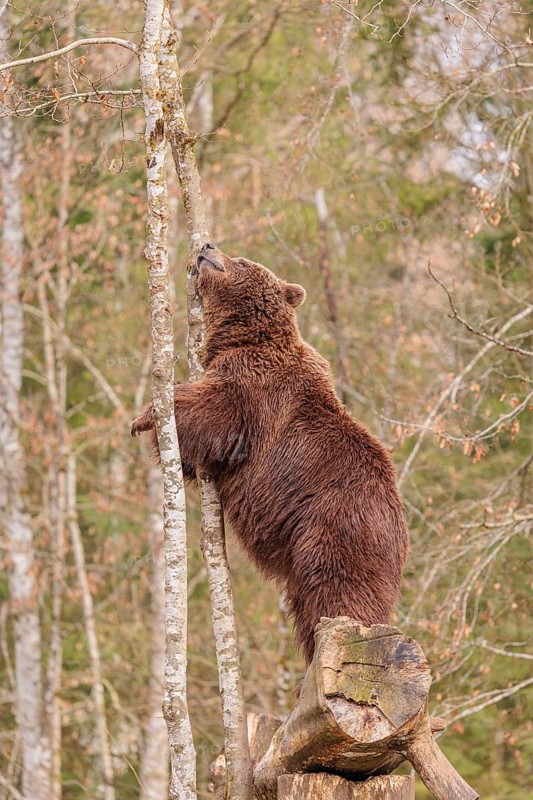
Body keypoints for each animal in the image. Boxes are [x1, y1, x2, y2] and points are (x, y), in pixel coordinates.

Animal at [131, 243, 408, 664]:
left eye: (242, 260)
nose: (207, 246)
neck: (248, 337)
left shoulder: (257, 387)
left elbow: (213, 412)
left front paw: (147, 415)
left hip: (334, 528)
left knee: (338, 591)